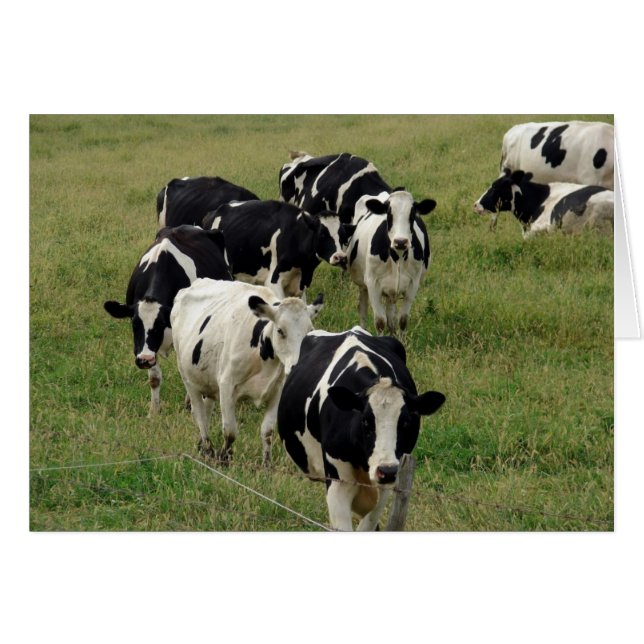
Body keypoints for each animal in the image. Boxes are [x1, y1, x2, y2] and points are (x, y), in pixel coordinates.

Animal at [104, 225, 232, 415]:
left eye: (160, 324)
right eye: (134, 324)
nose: (144, 360)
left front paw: (192, 406)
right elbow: (154, 377)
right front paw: (153, 412)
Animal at [171, 278, 324, 463]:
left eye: (310, 331)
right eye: (280, 330)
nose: (297, 364)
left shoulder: (277, 391)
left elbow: (268, 431)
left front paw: (266, 463)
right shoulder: (226, 385)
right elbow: (230, 431)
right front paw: (224, 459)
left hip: (208, 381)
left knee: (206, 410)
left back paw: (203, 447)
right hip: (187, 377)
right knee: (199, 413)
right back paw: (208, 449)